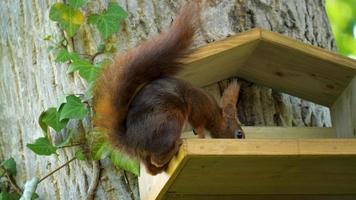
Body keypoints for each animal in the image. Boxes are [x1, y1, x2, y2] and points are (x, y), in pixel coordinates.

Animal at [92, 3, 245, 175]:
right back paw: (177, 145)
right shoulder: (197, 105)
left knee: (152, 169)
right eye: (239, 134)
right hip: (169, 121)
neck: (216, 115)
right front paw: (201, 137)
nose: (242, 139)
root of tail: (132, 141)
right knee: (158, 158)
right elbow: (198, 125)